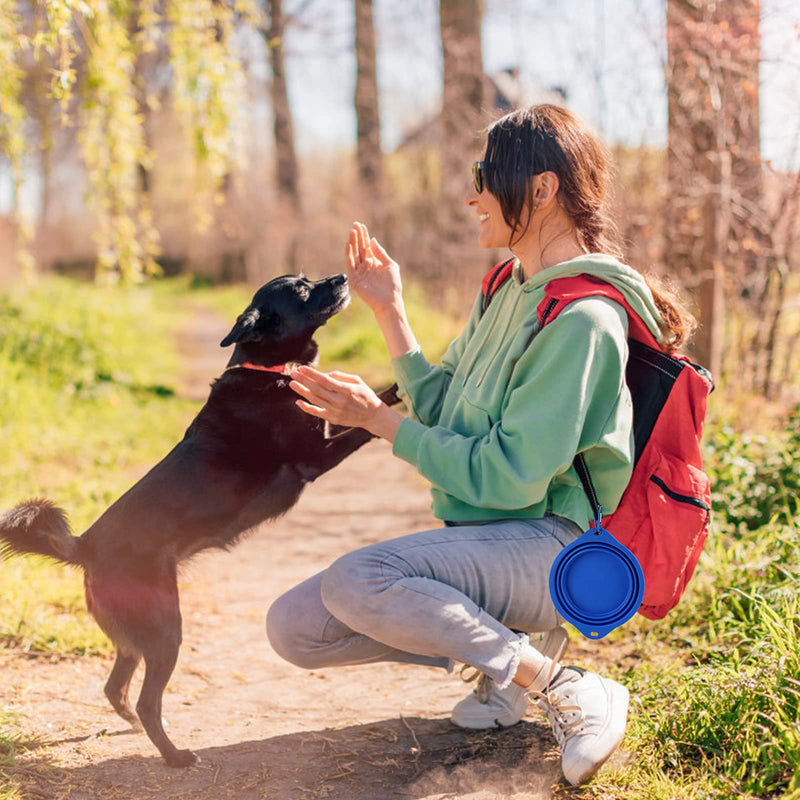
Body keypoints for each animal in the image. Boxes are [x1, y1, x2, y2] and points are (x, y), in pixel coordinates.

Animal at [0, 274, 398, 764]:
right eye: (302, 290)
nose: (341, 277)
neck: (268, 370)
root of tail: (86, 546)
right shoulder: (315, 458)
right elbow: (365, 423)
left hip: (135, 636)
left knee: (115, 687)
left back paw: (135, 727)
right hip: (165, 632)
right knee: (148, 701)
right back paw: (174, 755)